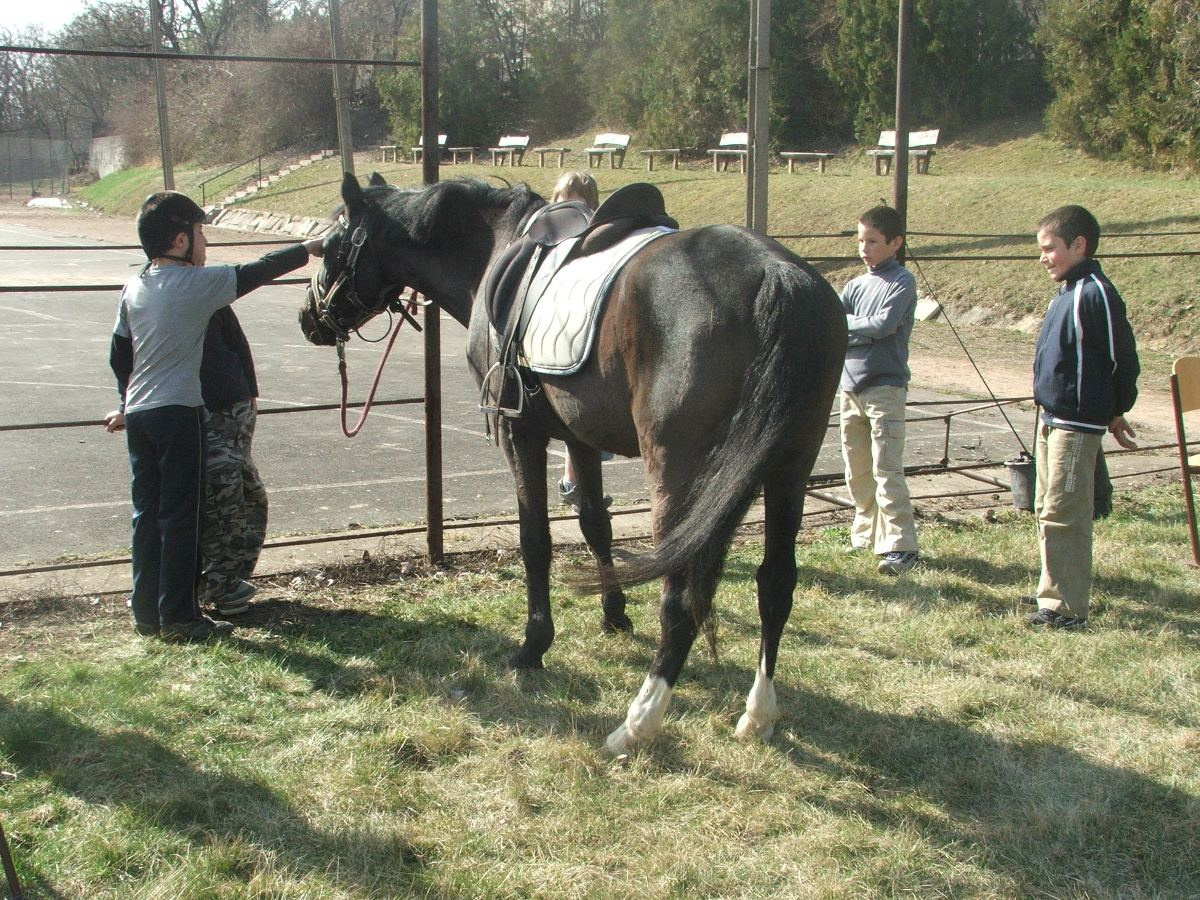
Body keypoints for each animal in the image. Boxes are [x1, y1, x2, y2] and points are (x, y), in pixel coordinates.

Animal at [300, 174, 844, 753]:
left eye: (332, 246)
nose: (309, 317)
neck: (496, 248)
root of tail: (777, 275)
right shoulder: (580, 438)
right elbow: (594, 525)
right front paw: (614, 614)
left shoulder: (521, 433)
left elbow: (535, 539)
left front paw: (534, 645)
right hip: (791, 469)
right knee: (776, 583)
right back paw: (758, 714)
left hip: (681, 475)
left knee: (679, 600)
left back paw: (637, 724)